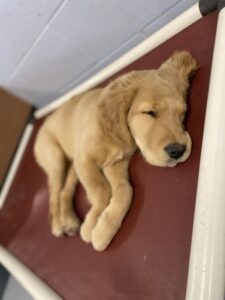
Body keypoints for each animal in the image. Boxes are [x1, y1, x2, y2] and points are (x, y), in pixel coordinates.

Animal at [34, 51, 198, 251]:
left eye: (183, 114)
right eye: (150, 112)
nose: (178, 151)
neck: (117, 136)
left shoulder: (114, 163)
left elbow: (125, 189)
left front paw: (103, 230)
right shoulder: (85, 160)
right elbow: (102, 189)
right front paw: (91, 226)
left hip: (73, 164)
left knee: (66, 190)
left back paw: (70, 221)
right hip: (56, 159)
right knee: (54, 193)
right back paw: (58, 225)